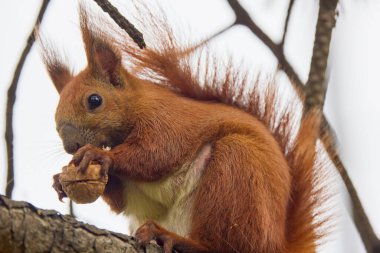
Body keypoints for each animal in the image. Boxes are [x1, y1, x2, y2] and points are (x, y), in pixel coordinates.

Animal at [40, 2, 326, 253]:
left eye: (94, 101)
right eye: (54, 121)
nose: (71, 146)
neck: (138, 104)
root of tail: (278, 243)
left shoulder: (168, 121)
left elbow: (156, 155)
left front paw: (99, 155)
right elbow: (121, 200)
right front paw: (60, 179)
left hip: (236, 172)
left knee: (222, 245)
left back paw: (173, 239)